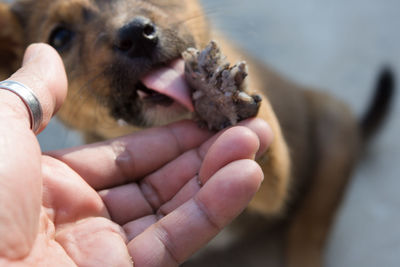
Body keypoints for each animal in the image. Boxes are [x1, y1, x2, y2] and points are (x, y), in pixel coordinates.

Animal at [0, 1, 394, 266]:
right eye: (60, 36)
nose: (136, 35)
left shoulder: (271, 183)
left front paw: (222, 90)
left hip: (334, 130)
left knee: (311, 228)